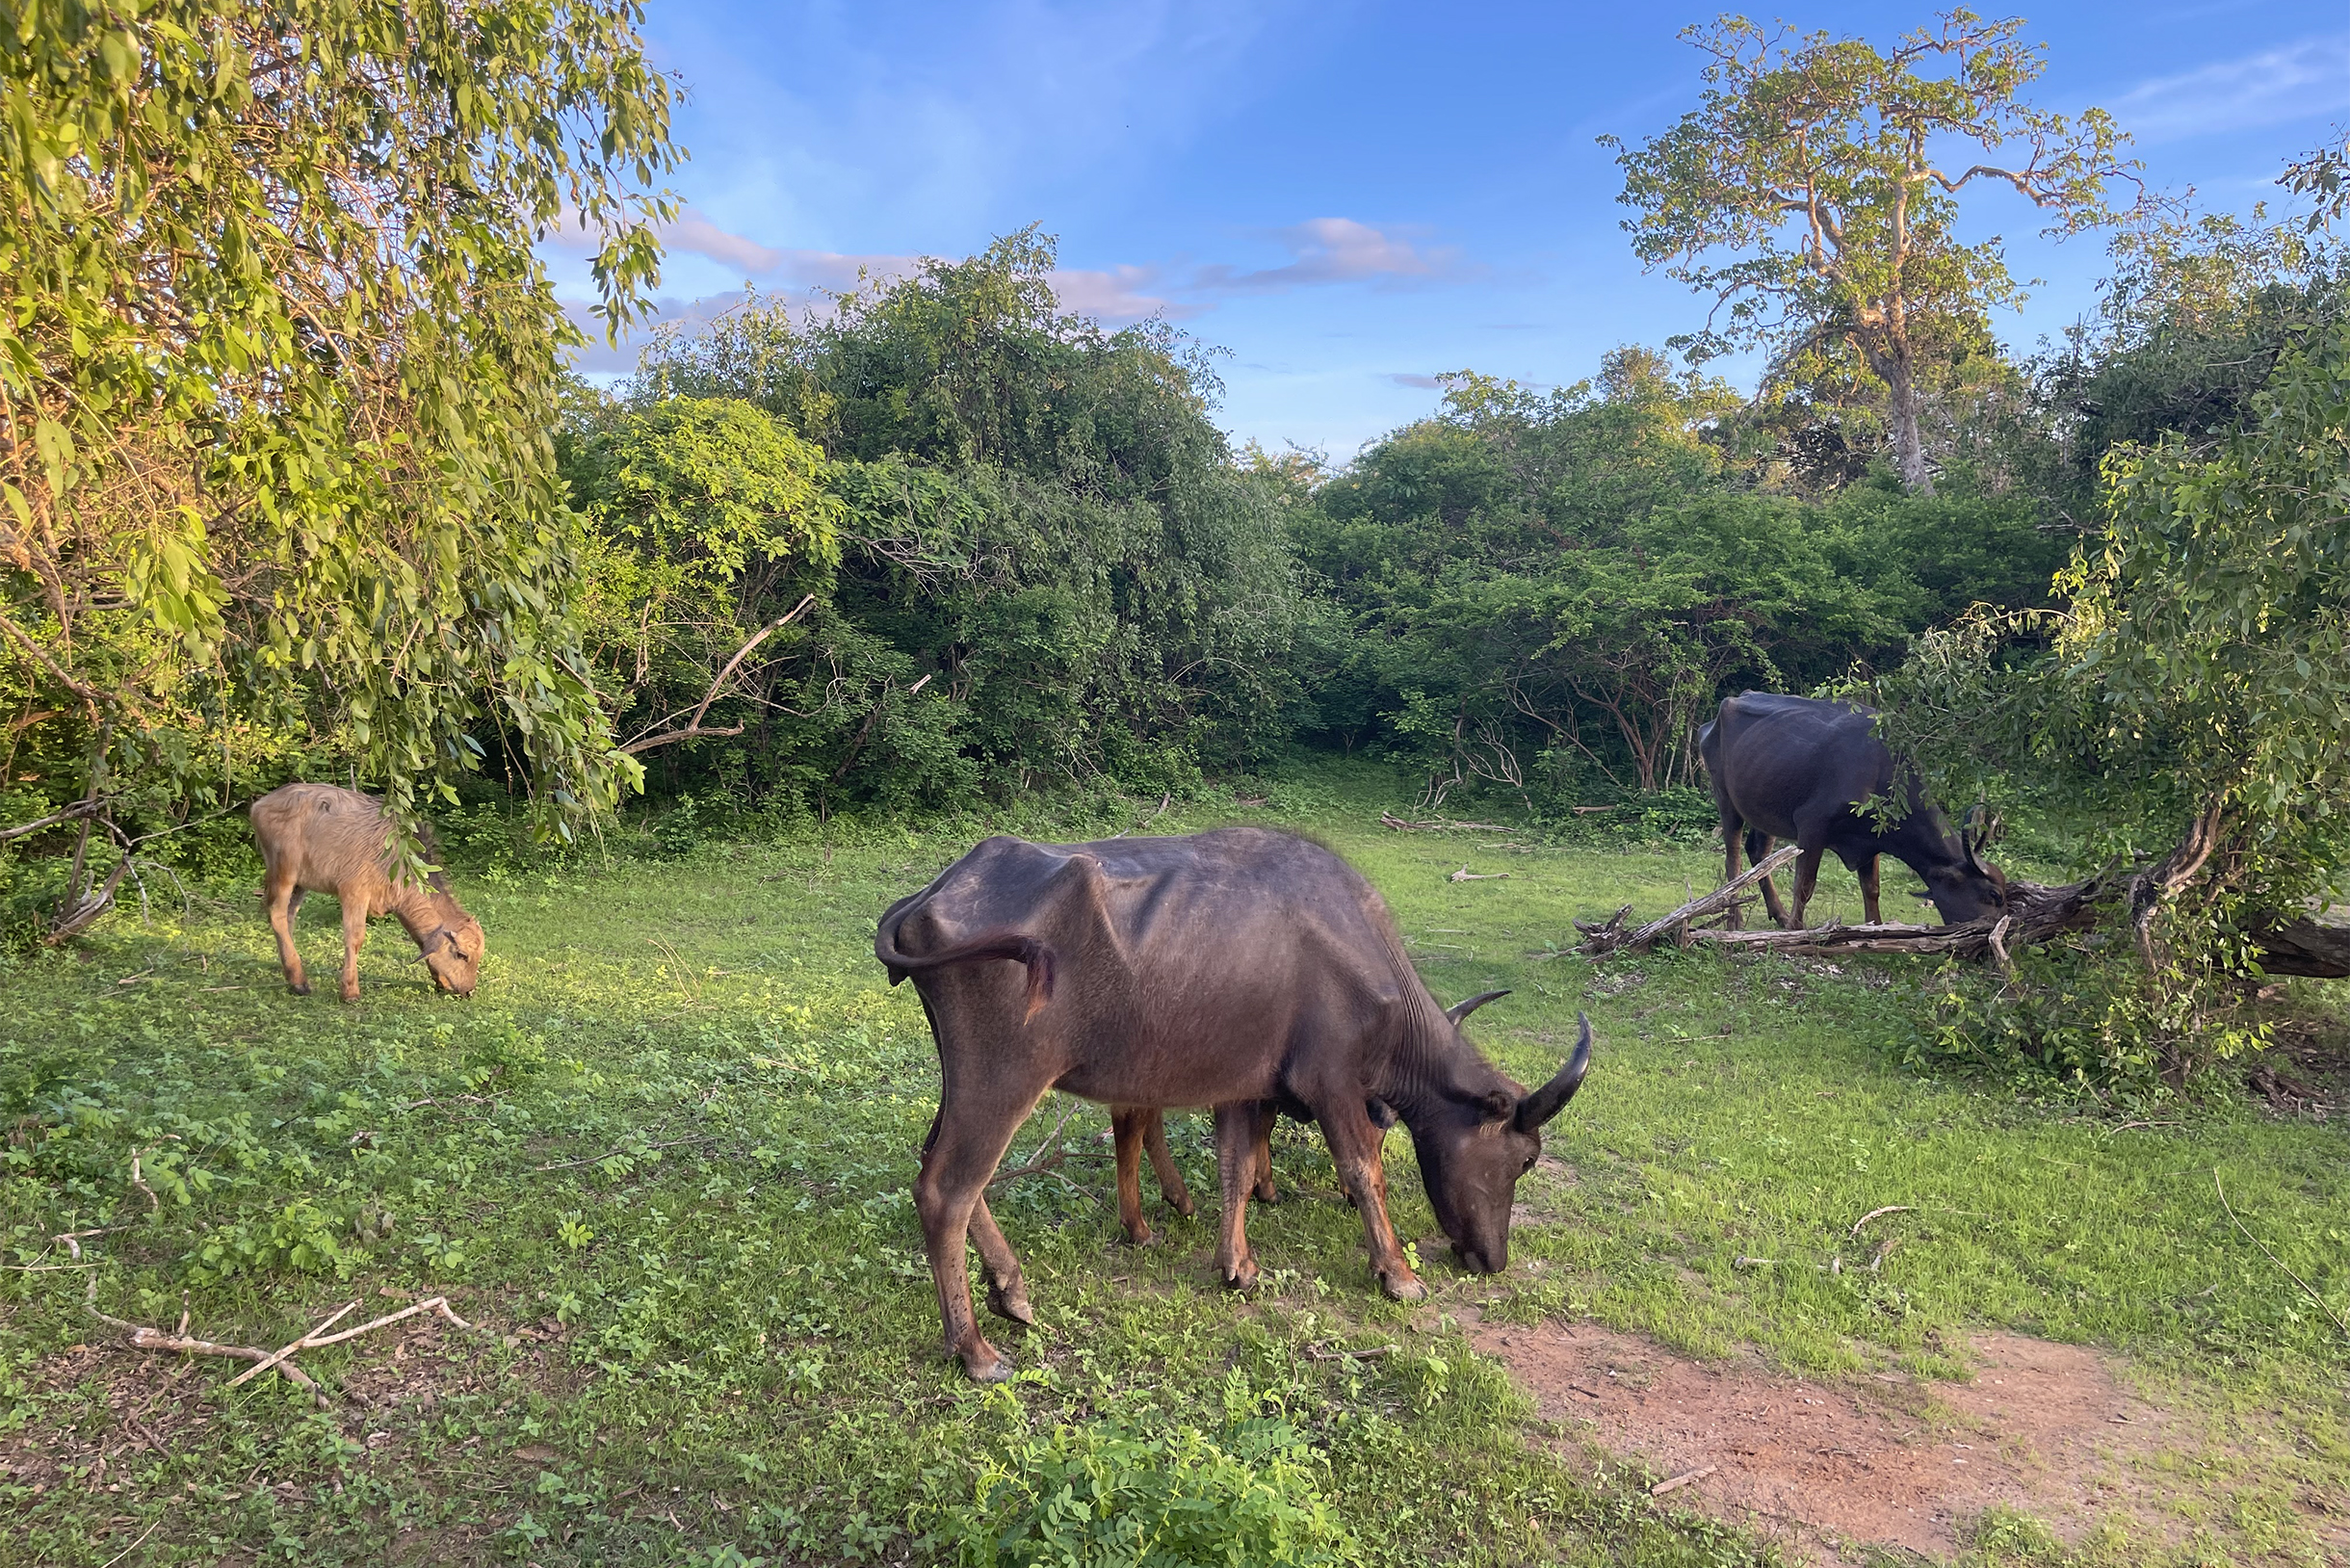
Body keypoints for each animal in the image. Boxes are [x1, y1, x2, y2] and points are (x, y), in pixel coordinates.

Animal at [249, 785, 483, 1006]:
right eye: (462, 955)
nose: (469, 990)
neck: (398, 860)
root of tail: (260, 804)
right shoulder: (354, 893)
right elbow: (355, 938)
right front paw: (350, 991)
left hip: (300, 884)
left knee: (288, 918)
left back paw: (293, 974)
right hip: (284, 873)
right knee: (277, 916)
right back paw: (299, 982)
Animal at [883, 827, 1598, 1382]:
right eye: (1524, 1159)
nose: (1491, 1259)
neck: (1358, 951)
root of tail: (932, 895)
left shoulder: (1243, 1087)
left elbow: (1237, 1166)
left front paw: (1238, 1265)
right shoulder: (1333, 1083)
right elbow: (1362, 1171)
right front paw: (1397, 1273)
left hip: (967, 1078)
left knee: (941, 1168)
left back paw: (1012, 1292)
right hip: (1004, 1077)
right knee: (947, 1188)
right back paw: (974, 1348)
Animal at [1701, 691, 2011, 930]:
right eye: (1994, 895)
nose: (2000, 929)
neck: (1880, 772)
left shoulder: (1870, 840)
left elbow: (1872, 889)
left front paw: (1875, 926)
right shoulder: (1812, 825)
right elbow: (1805, 885)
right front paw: (1796, 928)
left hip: (1765, 810)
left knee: (1759, 853)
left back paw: (1778, 914)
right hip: (1725, 797)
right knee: (1733, 858)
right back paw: (1734, 918)